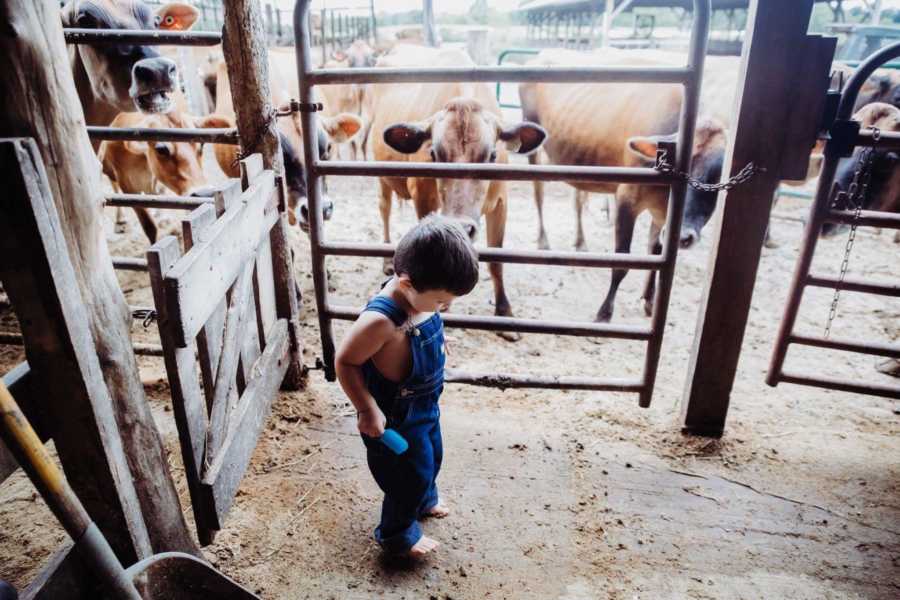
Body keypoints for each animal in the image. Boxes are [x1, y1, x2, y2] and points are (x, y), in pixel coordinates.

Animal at [100, 111, 230, 243]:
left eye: (202, 145)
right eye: (161, 149)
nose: (204, 193)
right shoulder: (127, 187)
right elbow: (149, 226)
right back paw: (121, 221)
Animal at [370, 45, 544, 338]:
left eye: (492, 155)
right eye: (434, 154)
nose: (462, 226)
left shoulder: (500, 201)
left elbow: (497, 260)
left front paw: (505, 312)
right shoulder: (422, 196)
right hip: (382, 175)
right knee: (384, 209)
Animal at [520, 50, 732, 324]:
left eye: (718, 175)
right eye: (675, 164)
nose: (684, 236)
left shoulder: (661, 212)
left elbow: (656, 252)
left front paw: (650, 300)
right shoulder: (627, 198)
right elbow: (622, 260)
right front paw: (604, 312)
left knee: (577, 199)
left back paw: (580, 241)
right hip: (533, 146)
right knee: (539, 193)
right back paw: (543, 239)